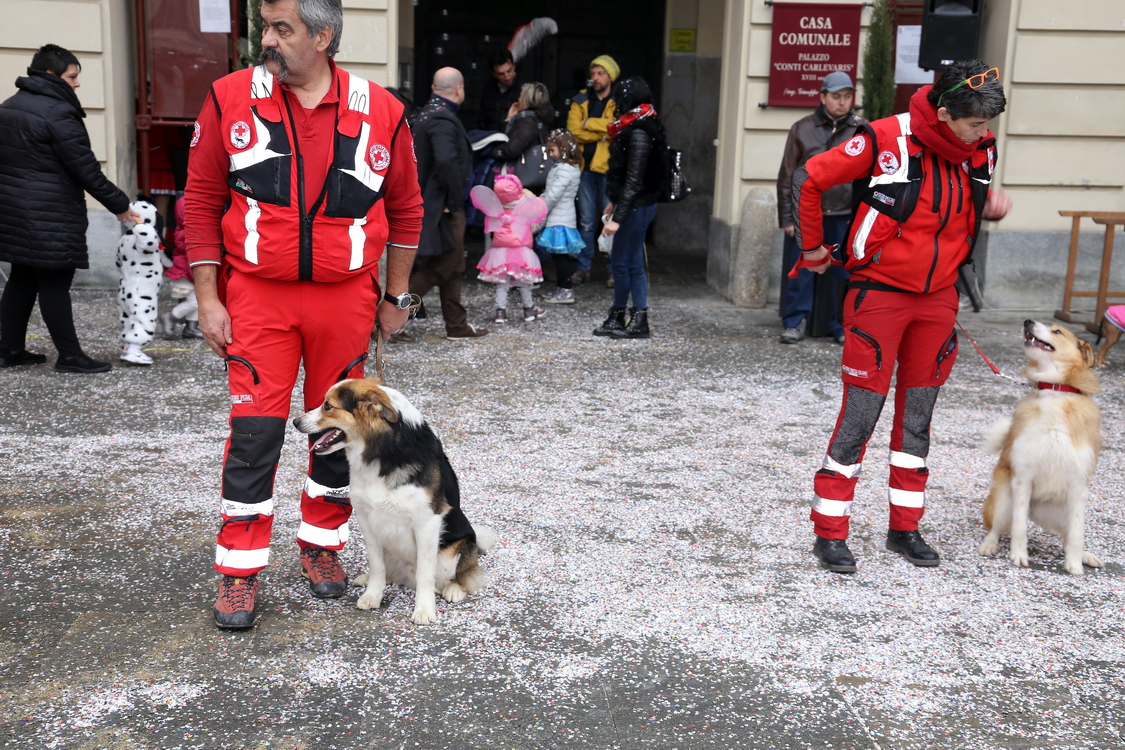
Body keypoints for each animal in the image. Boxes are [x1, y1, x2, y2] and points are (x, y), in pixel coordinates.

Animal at [292, 377, 495, 625]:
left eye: (328, 406)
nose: (295, 422)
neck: (381, 452)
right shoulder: (367, 518)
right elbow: (377, 565)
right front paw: (373, 595)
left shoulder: (427, 522)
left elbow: (425, 573)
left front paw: (424, 610)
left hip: (453, 552)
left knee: (461, 576)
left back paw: (453, 589)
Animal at [981, 321, 1102, 575]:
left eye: (1057, 331)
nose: (1027, 321)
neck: (1055, 390)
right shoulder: (1022, 479)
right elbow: (1018, 527)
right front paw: (1018, 555)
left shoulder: (1079, 485)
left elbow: (1076, 534)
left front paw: (1075, 563)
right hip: (1003, 498)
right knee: (995, 526)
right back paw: (988, 544)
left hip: (1062, 510)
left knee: (1066, 535)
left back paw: (1085, 556)